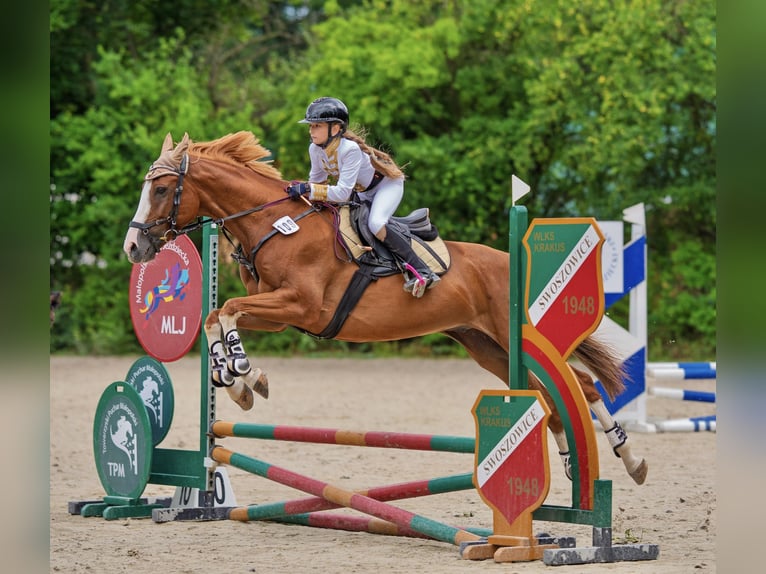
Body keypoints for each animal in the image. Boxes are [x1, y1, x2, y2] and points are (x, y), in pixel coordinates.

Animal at [123, 131, 647, 485]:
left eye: (163, 190)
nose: (133, 248)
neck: (276, 225)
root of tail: (510, 264)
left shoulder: (302, 306)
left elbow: (226, 310)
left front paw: (246, 375)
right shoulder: (281, 314)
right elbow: (218, 315)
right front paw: (234, 382)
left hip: (511, 334)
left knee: (579, 385)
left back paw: (631, 460)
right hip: (485, 346)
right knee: (549, 401)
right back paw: (570, 465)